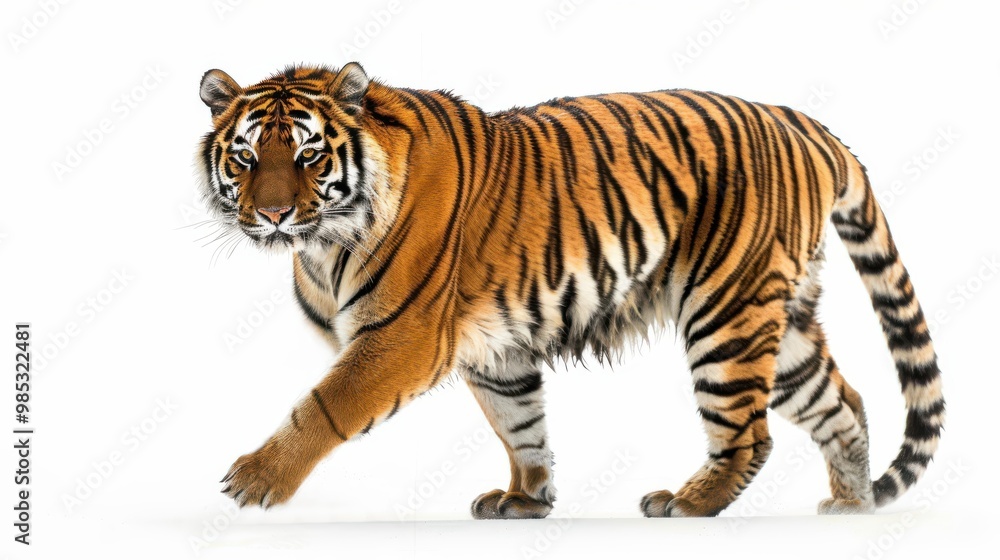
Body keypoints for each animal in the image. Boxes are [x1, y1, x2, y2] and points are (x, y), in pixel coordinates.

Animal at [197, 62, 943, 518]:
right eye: (245, 156)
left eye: (308, 155)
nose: (272, 214)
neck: (322, 243)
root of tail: (804, 122)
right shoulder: (495, 349)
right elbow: (520, 424)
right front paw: (527, 500)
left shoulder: (400, 338)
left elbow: (324, 406)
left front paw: (257, 480)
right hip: (779, 321)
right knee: (842, 402)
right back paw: (851, 505)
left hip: (726, 313)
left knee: (749, 433)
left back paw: (688, 503)